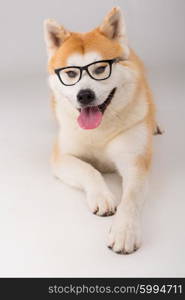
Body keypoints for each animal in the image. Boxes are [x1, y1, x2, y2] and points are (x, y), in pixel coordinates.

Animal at [43, 7, 159, 254]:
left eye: (101, 69)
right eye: (71, 73)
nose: (84, 95)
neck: (100, 130)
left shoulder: (134, 162)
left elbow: (130, 199)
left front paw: (124, 230)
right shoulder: (62, 157)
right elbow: (88, 170)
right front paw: (102, 196)